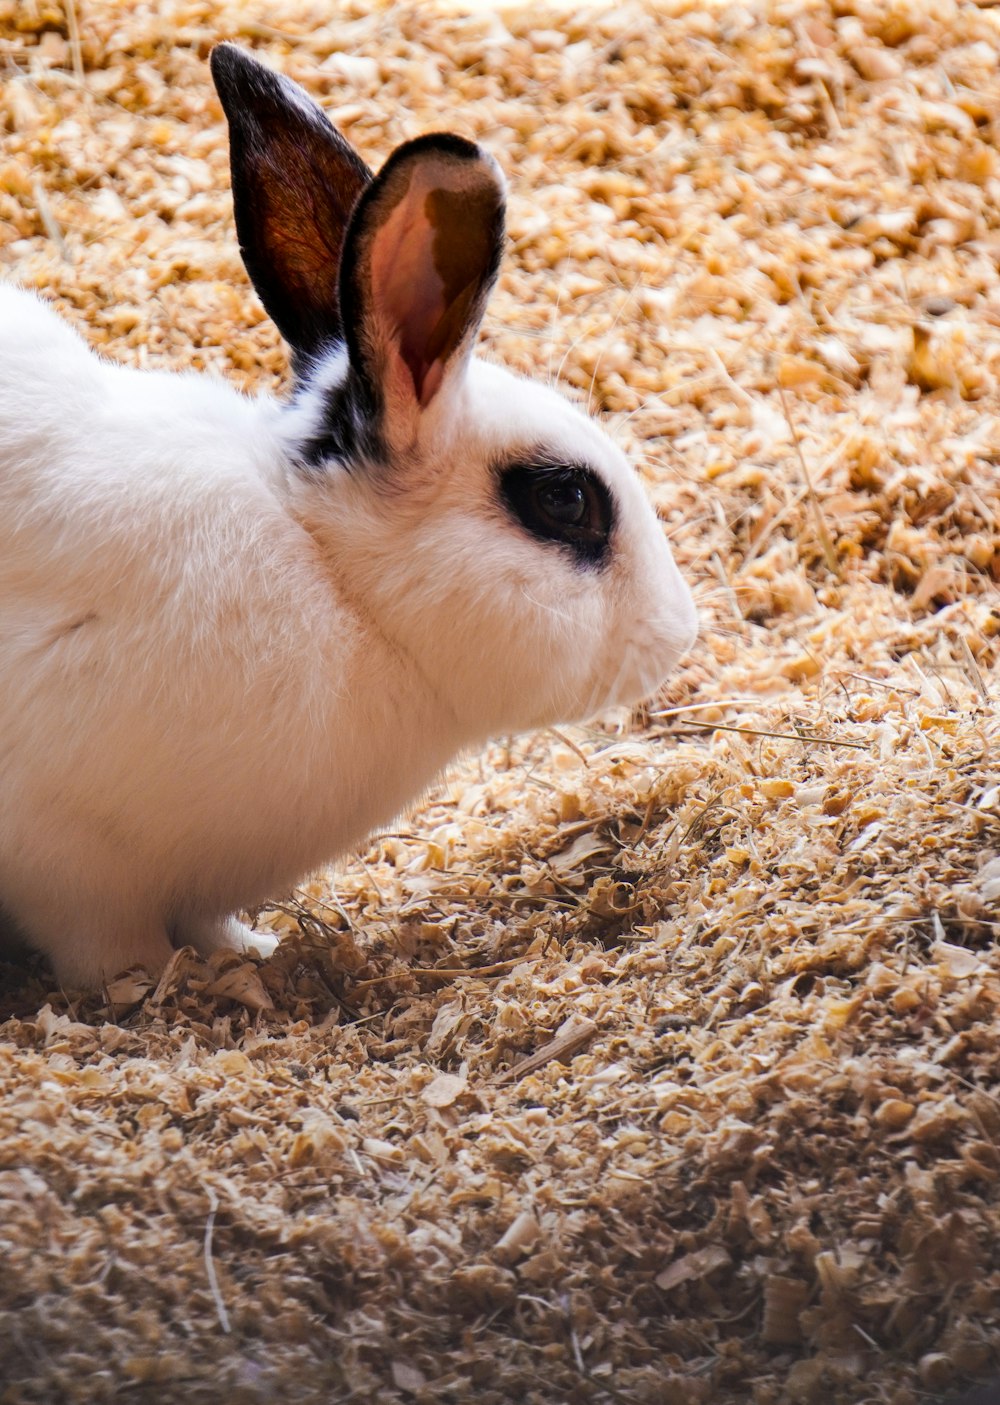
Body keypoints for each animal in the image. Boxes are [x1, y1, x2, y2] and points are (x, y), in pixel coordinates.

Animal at [0, 43, 699, 989]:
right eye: (565, 499)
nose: (679, 631)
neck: (335, 576)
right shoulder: (67, 858)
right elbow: (107, 949)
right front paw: (177, 983)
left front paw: (246, 955)